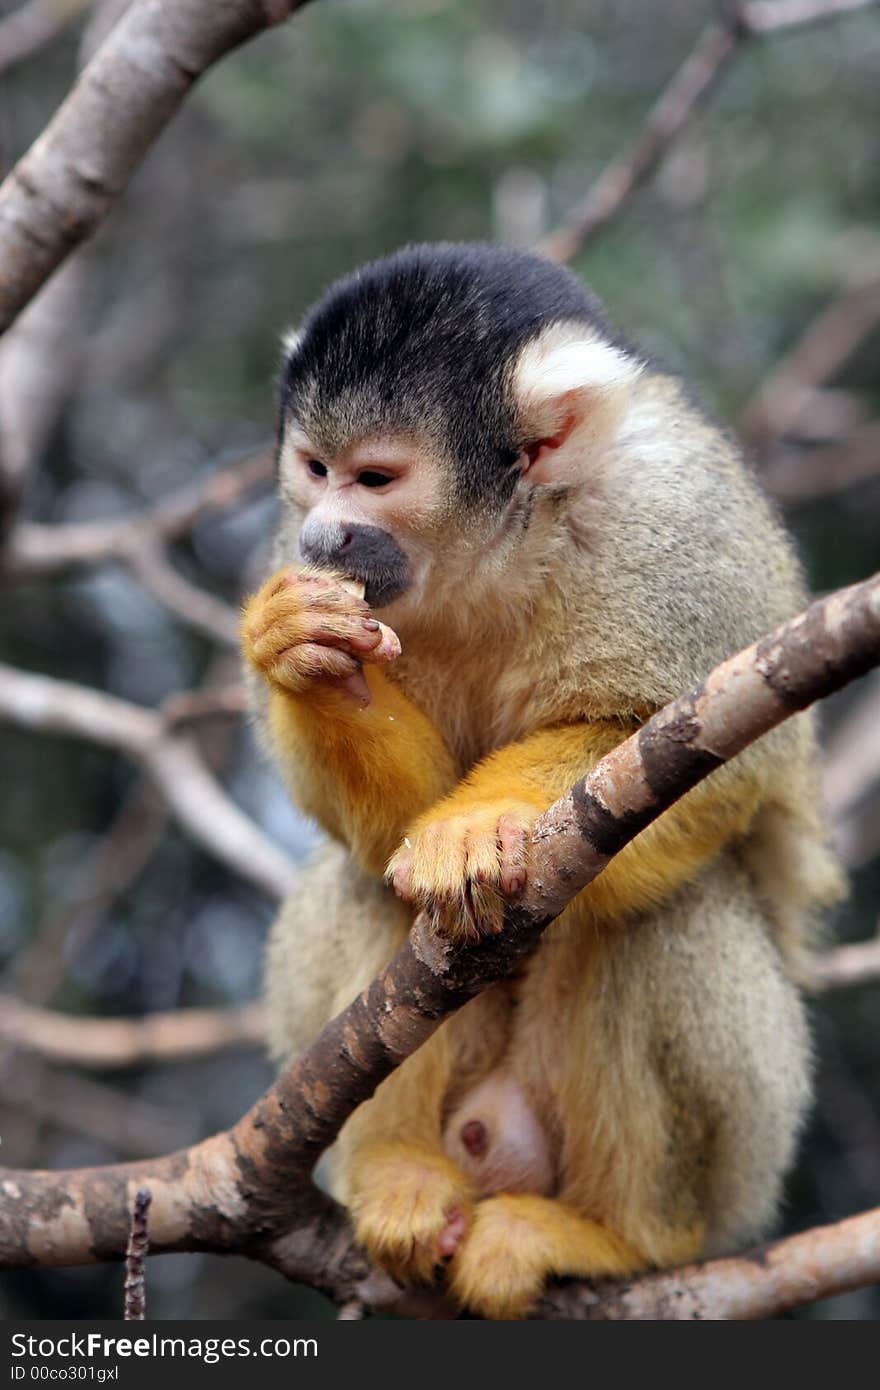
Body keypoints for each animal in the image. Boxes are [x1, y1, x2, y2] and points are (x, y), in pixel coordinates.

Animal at [241, 244, 845, 1317]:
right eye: (315, 471)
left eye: (376, 478)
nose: (326, 535)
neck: (505, 544)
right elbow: (387, 845)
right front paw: (304, 654)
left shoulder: (671, 528)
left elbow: (709, 760)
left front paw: (479, 821)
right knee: (364, 887)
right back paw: (398, 1171)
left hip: (744, 1166)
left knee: (669, 912)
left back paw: (613, 1238)